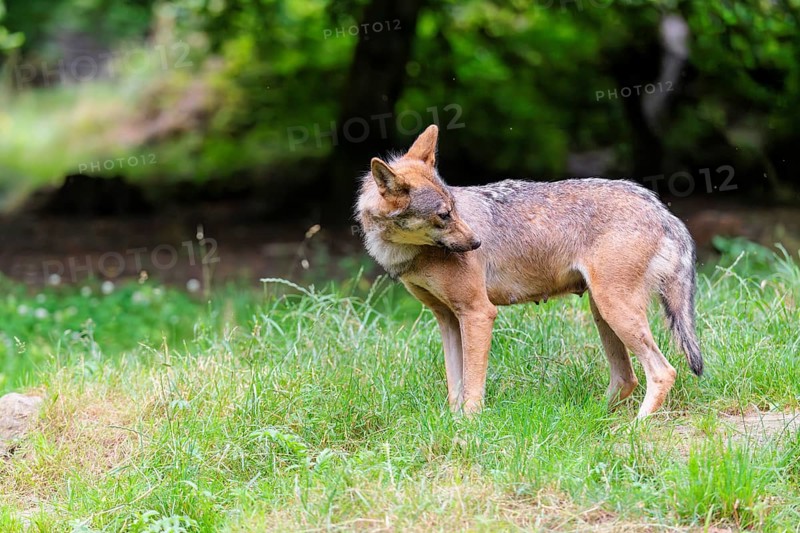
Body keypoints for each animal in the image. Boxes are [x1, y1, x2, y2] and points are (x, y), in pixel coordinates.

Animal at [356, 125, 702, 418]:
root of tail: (661, 209)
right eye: (444, 215)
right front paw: (452, 424)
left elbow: (472, 387)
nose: (477, 243)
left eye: (453, 210)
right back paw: (589, 420)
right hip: (603, 313)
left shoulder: (479, 313)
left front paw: (470, 427)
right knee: (627, 379)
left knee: (663, 371)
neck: (409, 255)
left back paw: (635, 428)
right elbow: (455, 386)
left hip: (615, 310)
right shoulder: (447, 319)